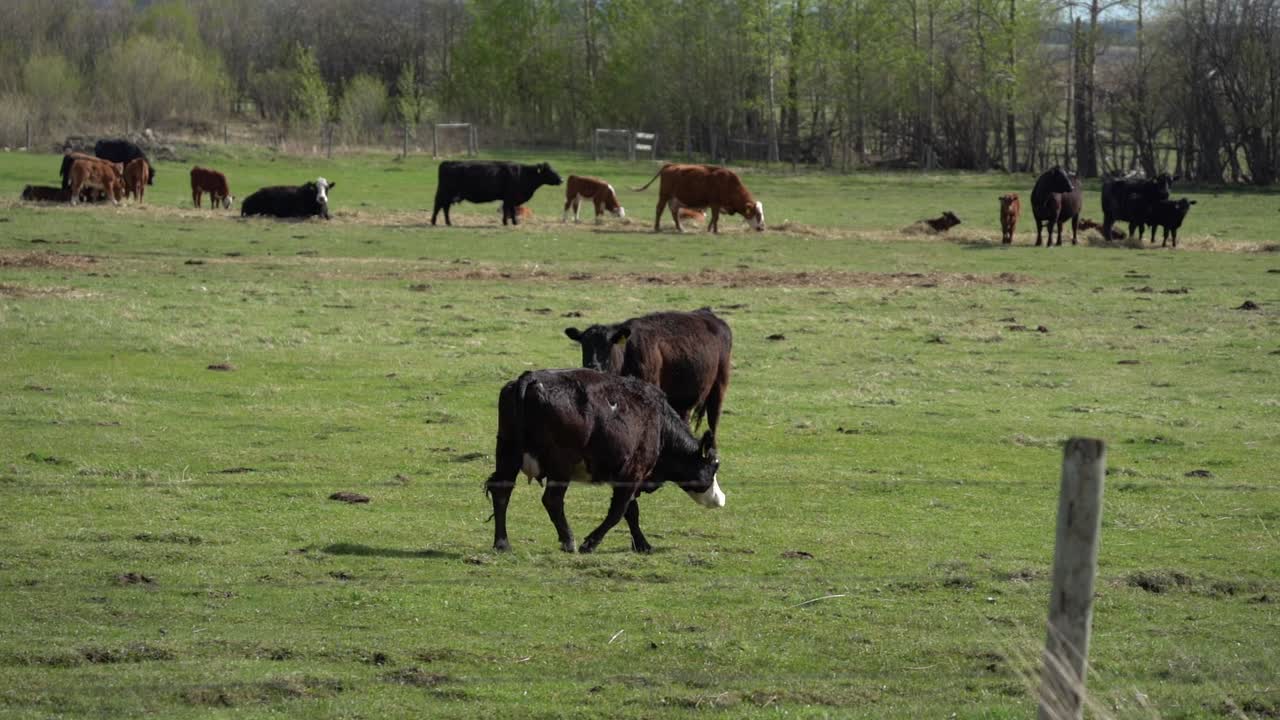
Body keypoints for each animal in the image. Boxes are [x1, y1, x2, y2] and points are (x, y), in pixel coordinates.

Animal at [431, 161, 562, 226]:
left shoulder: (509, 198)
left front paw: (510, 222)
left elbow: (508, 209)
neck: (523, 174)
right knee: (438, 206)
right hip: (444, 193)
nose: (562, 179)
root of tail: (448, 162)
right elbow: (509, 209)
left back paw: (448, 223)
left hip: (448, 195)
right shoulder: (510, 197)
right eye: (549, 171)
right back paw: (434, 222)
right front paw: (511, 222)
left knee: (445, 208)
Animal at [484, 368, 725, 554]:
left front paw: (642, 544)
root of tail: (531, 379)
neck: (659, 426)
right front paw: (590, 543)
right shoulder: (633, 474)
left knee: (501, 491)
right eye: (713, 467)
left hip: (508, 453)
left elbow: (631, 512)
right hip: (561, 466)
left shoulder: (624, 477)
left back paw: (502, 543)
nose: (720, 499)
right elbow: (619, 512)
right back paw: (568, 541)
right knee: (552, 500)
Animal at [564, 308, 732, 444]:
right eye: (584, 345)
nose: (593, 366)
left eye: (608, 345)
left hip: (719, 386)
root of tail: (707, 313)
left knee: (713, 420)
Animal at [633, 163, 764, 233]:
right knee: (659, 210)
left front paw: (709, 229)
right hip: (664, 195)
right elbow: (715, 217)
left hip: (674, 199)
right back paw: (657, 227)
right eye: (757, 214)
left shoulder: (716, 205)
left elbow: (713, 218)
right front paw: (715, 231)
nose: (762, 228)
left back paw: (680, 228)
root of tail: (670, 165)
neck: (728, 183)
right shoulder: (715, 203)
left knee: (674, 213)